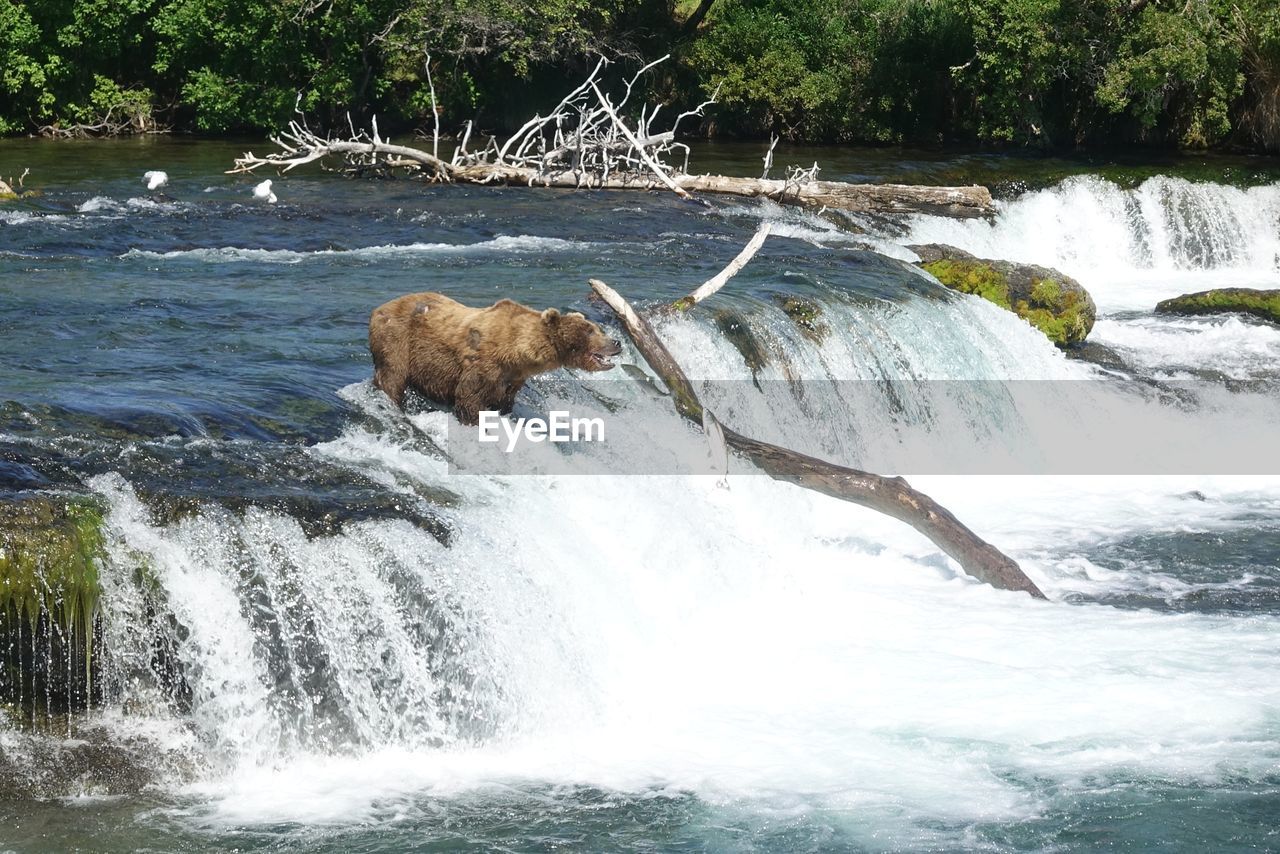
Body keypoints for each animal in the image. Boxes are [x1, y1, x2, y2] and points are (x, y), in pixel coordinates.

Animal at [368, 291, 622, 425]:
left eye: (598, 328)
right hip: (397, 339)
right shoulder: (483, 365)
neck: (518, 353)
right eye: (590, 330)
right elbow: (469, 398)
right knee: (393, 376)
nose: (616, 343)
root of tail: (378, 309)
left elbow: (503, 402)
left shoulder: (511, 380)